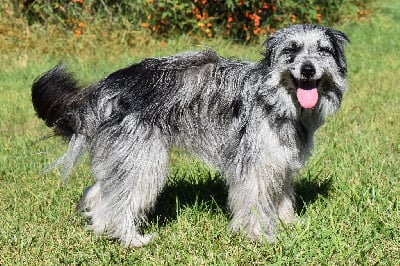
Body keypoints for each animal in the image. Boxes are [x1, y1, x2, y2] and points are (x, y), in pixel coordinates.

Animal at [32, 23, 348, 246]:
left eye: (323, 50)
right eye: (291, 50)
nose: (308, 69)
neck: (276, 99)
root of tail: (107, 85)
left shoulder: (279, 163)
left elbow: (281, 198)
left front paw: (288, 224)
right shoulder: (255, 166)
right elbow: (254, 203)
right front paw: (261, 236)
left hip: (125, 159)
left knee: (101, 194)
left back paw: (101, 229)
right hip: (144, 161)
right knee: (120, 200)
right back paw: (131, 240)